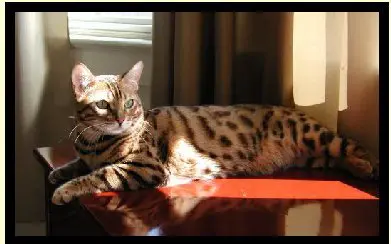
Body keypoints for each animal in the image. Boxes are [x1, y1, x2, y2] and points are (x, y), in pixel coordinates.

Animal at [49, 61, 380, 206]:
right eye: (103, 105)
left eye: (129, 103)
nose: (120, 120)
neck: (94, 142)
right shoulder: (89, 155)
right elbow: (78, 165)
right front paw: (58, 172)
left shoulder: (144, 167)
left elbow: (98, 175)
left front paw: (65, 190)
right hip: (311, 158)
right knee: (335, 159)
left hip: (312, 134)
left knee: (352, 146)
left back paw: (366, 167)